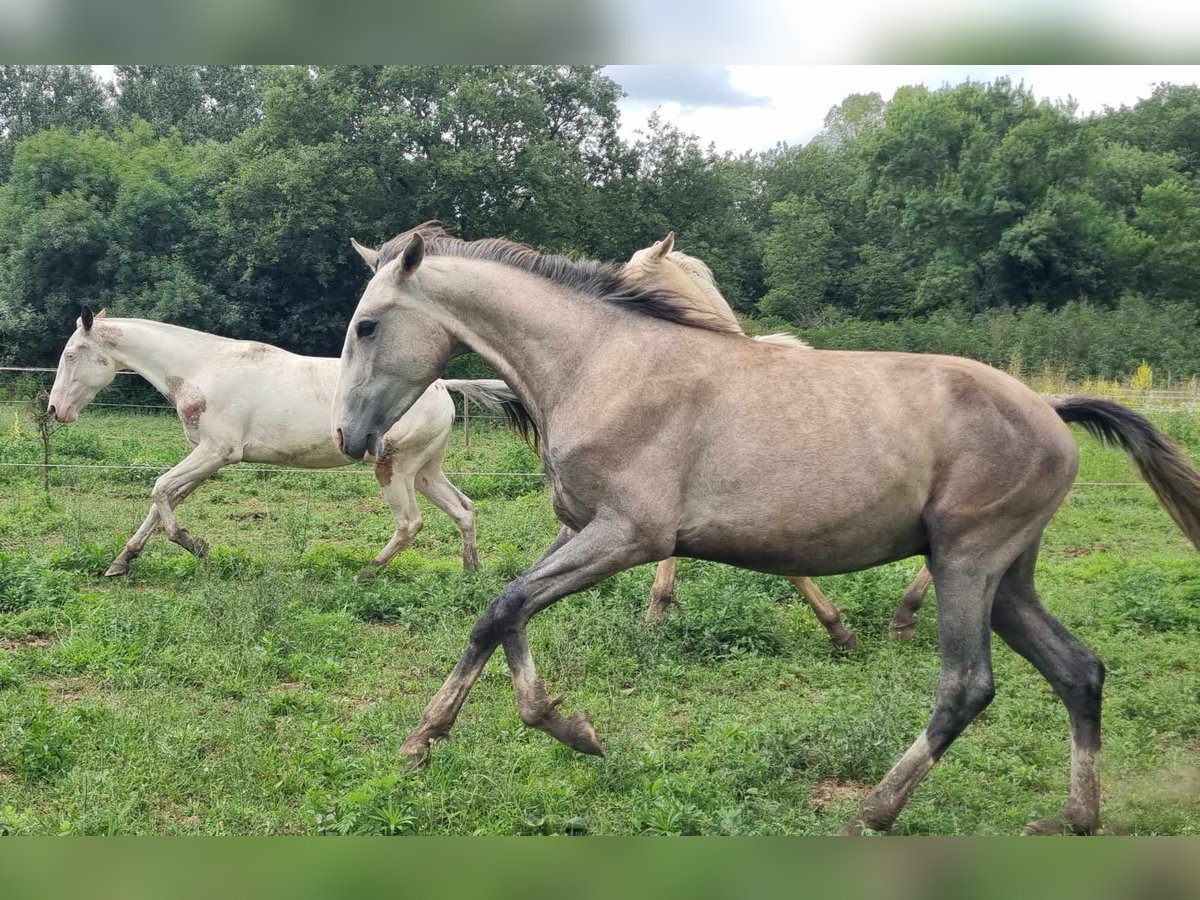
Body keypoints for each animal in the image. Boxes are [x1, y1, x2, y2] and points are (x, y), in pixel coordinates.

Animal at [49, 309, 518, 578]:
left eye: (70, 355)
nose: (56, 410)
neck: (204, 369)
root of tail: (442, 386)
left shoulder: (216, 452)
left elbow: (160, 490)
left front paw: (196, 546)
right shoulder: (208, 458)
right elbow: (163, 500)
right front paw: (122, 561)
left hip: (394, 468)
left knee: (410, 524)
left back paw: (368, 571)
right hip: (425, 470)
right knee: (464, 509)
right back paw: (471, 572)